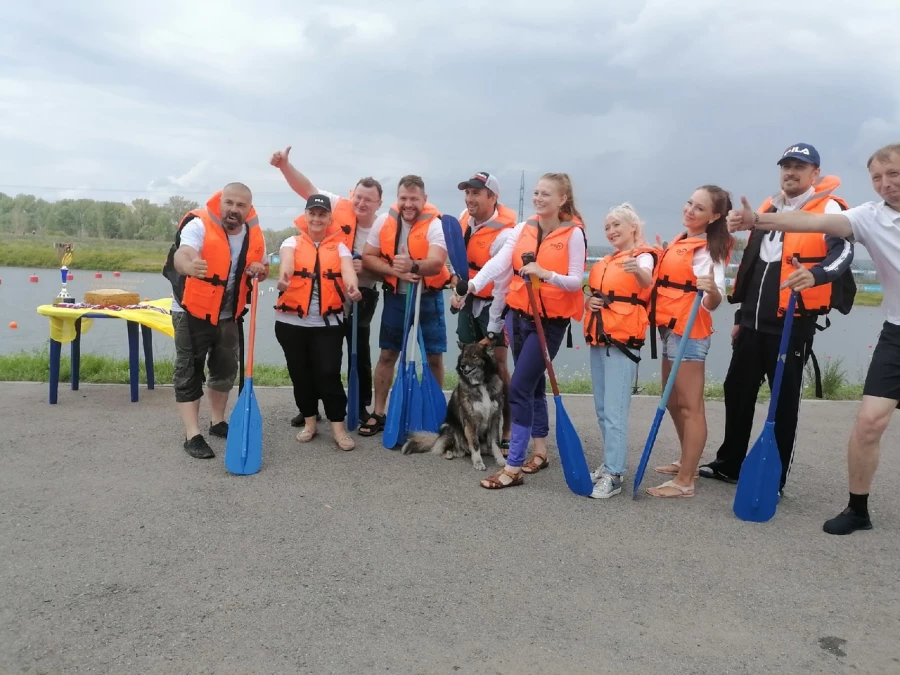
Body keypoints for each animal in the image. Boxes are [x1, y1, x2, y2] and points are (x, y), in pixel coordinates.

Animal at [400, 340, 506, 472]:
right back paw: (450, 453)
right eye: (464, 356)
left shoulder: (495, 419)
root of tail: (437, 437)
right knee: (440, 448)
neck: (480, 384)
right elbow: (475, 445)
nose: (462, 366)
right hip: (449, 428)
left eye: (474, 357)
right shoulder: (470, 422)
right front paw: (478, 462)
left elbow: (495, 443)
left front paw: (500, 459)